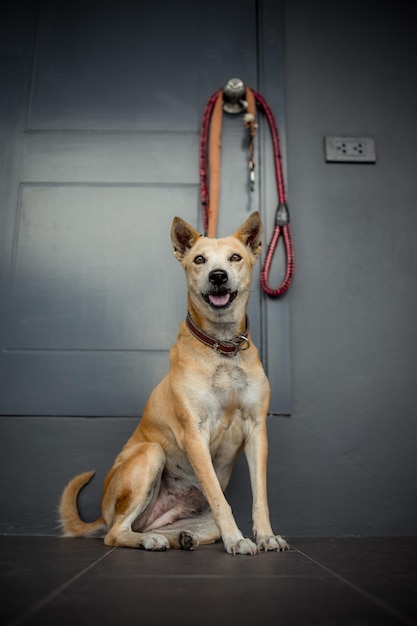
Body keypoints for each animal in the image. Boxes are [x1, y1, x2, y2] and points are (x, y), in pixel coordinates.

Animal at [58, 212, 288, 552]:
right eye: (199, 259)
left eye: (235, 257)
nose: (217, 276)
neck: (222, 349)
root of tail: (104, 514)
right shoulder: (195, 434)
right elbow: (219, 498)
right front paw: (237, 540)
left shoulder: (257, 430)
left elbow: (260, 496)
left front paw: (266, 535)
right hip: (151, 455)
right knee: (116, 533)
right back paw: (149, 540)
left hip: (194, 519)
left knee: (169, 529)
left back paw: (180, 536)